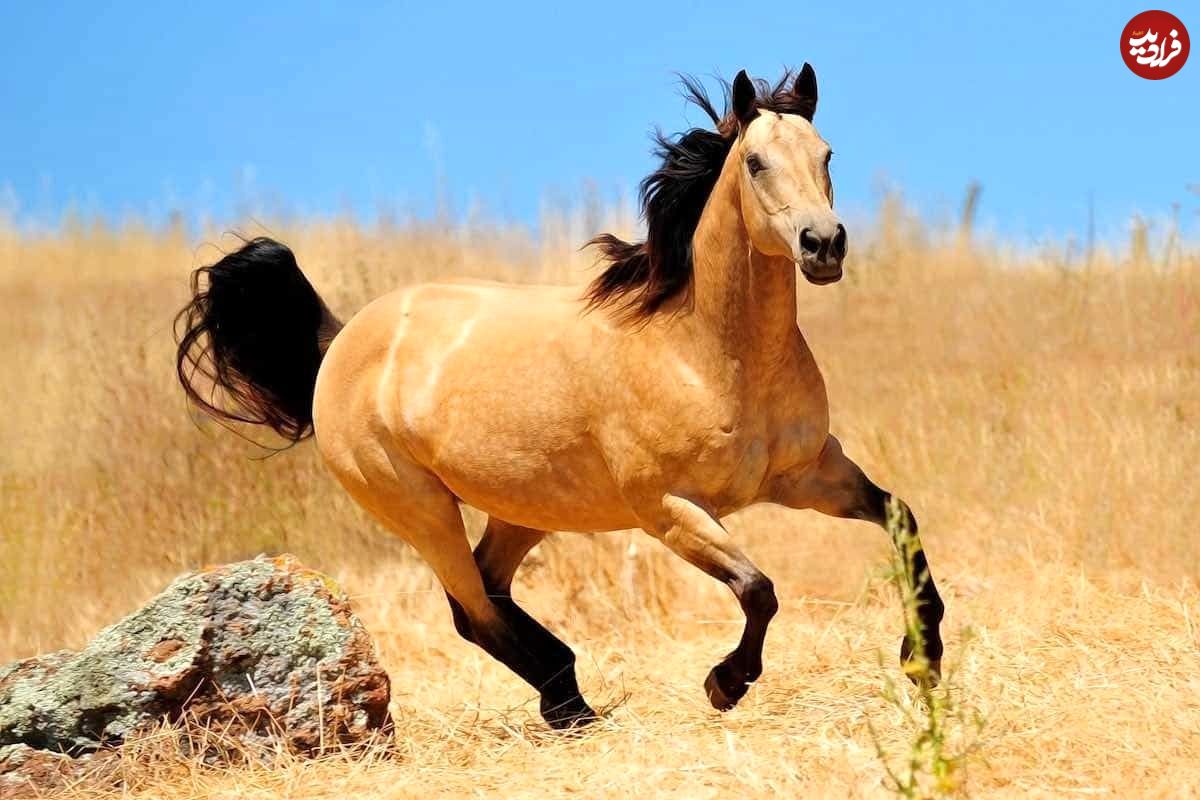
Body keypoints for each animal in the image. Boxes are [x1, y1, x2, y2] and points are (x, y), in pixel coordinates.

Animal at [177, 67, 945, 734]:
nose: (823, 245)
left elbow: (902, 520)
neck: (707, 354)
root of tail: (340, 343)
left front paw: (924, 661)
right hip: (419, 508)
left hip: (523, 506)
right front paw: (724, 684)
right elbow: (759, 589)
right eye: (756, 162)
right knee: (472, 610)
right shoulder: (668, 510)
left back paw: (566, 697)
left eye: (827, 153)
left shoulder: (809, 474)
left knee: (489, 591)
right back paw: (572, 705)